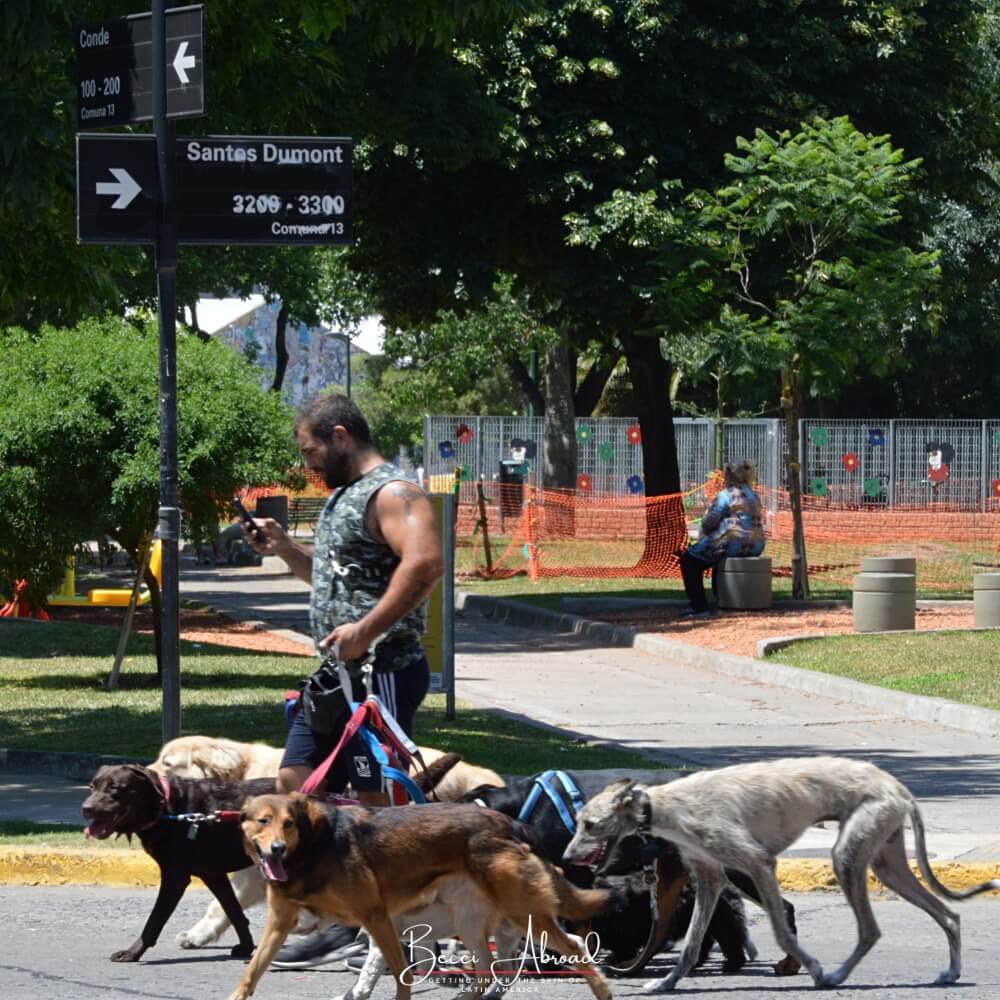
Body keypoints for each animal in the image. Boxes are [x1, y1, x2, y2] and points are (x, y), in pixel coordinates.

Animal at [82, 764, 276, 960]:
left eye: (114, 787)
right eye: (92, 786)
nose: (86, 808)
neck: (165, 809)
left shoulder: (175, 878)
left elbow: (155, 920)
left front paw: (133, 952)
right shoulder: (212, 874)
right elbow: (233, 911)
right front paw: (246, 946)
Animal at [229, 792, 616, 1000]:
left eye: (288, 823)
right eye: (263, 821)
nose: (277, 849)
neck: (310, 847)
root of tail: (514, 825)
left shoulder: (376, 918)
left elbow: (400, 977)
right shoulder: (280, 923)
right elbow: (252, 971)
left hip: (524, 914)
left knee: (574, 950)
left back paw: (602, 990)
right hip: (477, 921)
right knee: (492, 971)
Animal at [564, 756, 1000, 992]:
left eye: (589, 824)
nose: (566, 856)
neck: (665, 804)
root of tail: (898, 786)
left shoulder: (758, 864)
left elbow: (780, 930)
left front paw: (813, 967)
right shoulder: (709, 876)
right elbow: (692, 942)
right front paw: (666, 983)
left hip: (848, 855)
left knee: (871, 929)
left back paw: (835, 975)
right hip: (887, 862)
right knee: (949, 914)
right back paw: (951, 971)